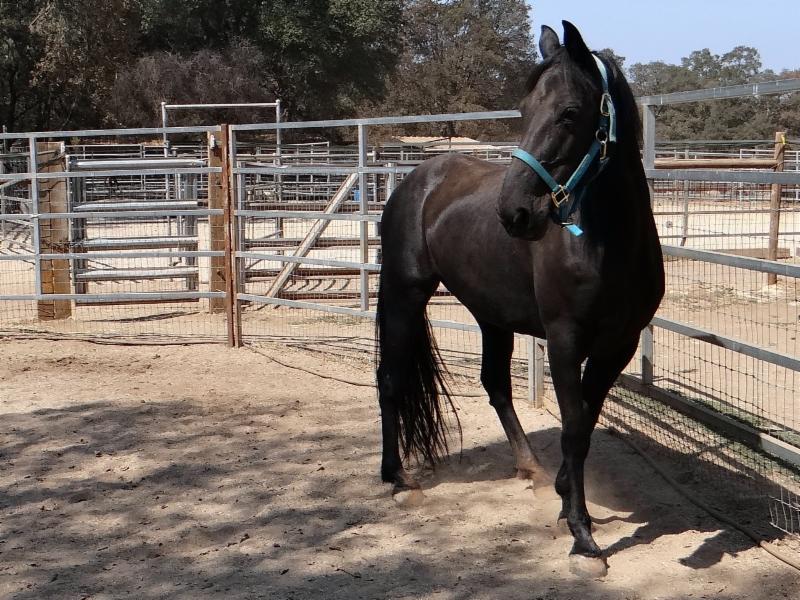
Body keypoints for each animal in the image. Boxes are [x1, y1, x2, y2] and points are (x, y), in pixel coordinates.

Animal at [375, 21, 664, 575]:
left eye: (569, 113)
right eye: (524, 110)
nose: (515, 213)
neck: (608, 243)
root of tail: (418, 179)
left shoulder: (617, 345)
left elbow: (586, 421)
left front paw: (564, 496)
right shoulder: (565, 340)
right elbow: (573, 427)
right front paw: (583, 538)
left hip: (491, 315)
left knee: (495, 384)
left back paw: (530, 468)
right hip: (404, 294)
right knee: (391, 380)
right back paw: (398, 481)